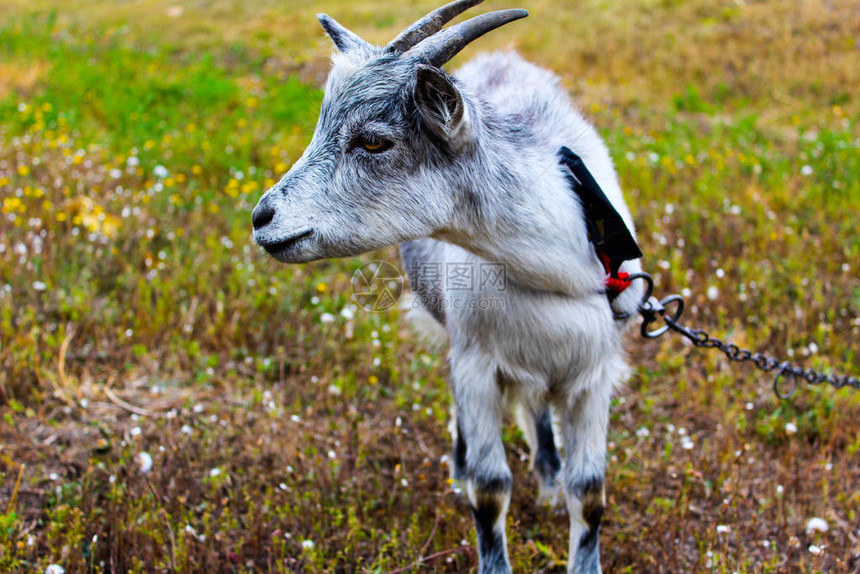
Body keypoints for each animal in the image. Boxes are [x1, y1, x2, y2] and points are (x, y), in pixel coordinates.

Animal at [252, 2, 640, 572]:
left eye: (373, 140)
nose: (262, 218)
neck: (556, 268)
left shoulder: (594, 376)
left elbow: (589, 492)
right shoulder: (476, 365)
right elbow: (490, 487)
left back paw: (548, 478)